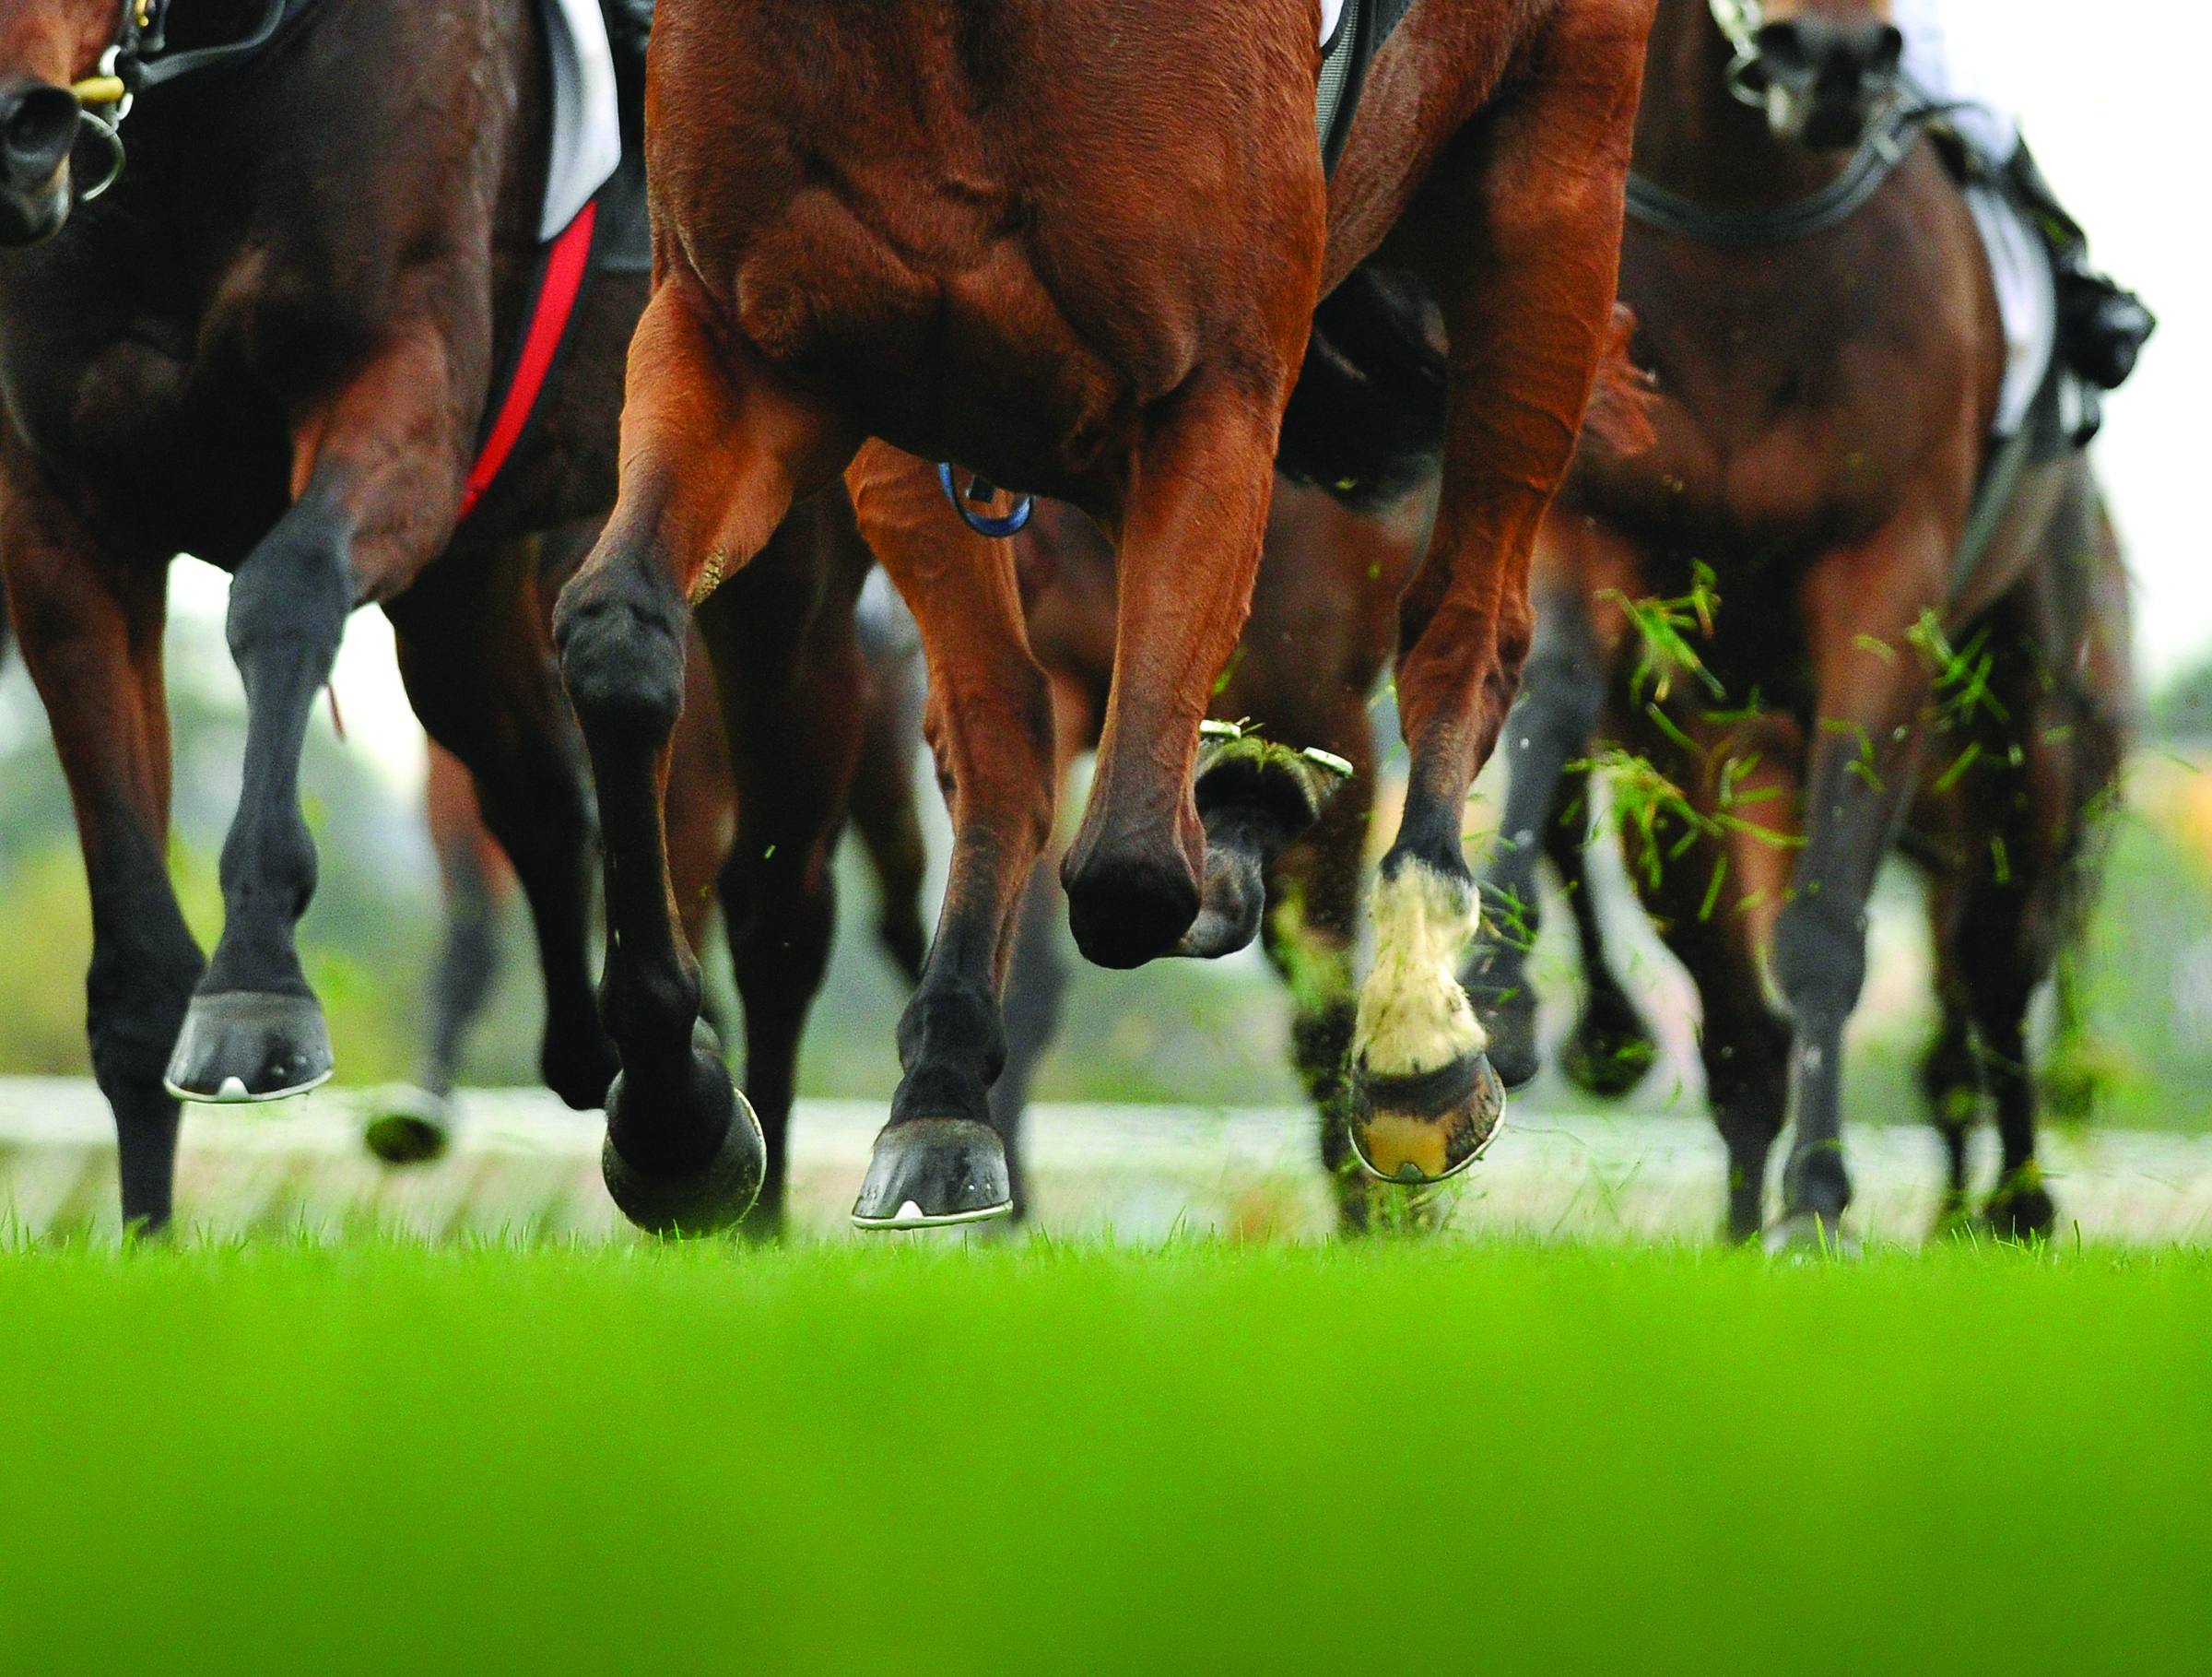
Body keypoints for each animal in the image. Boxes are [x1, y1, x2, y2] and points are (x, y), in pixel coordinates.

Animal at [0, 0, 667, 1228]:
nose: (19, 126)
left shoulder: (398, 388)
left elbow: (289, 583)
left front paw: (258, 985)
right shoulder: (62, 517)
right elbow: (137, 981)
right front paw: (147, 1240)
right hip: (466, 595)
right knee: (541, 794)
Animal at [551, 0, 1656, 1233]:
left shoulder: (1214, 392)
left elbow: (1133, 867)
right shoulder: (748, 344)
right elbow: (617, 640)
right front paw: (676, 1117)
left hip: (1552, 202)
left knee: (1464, 633)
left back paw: (1416, 1036)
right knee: (1007, 736)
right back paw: (946, 1085)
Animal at [1462, 0, 2134, 1246]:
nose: (1825, 55)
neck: (1742, 227)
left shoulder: (1885, 577)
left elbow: (1830, 933)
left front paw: (1820, 1199)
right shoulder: (1597, 524)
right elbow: (1558, 704)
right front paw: (1496, 989)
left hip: (2028, 729)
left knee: (1994, 962)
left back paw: (2012, 1201)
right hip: (1718, 768)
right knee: (1740, 1019)